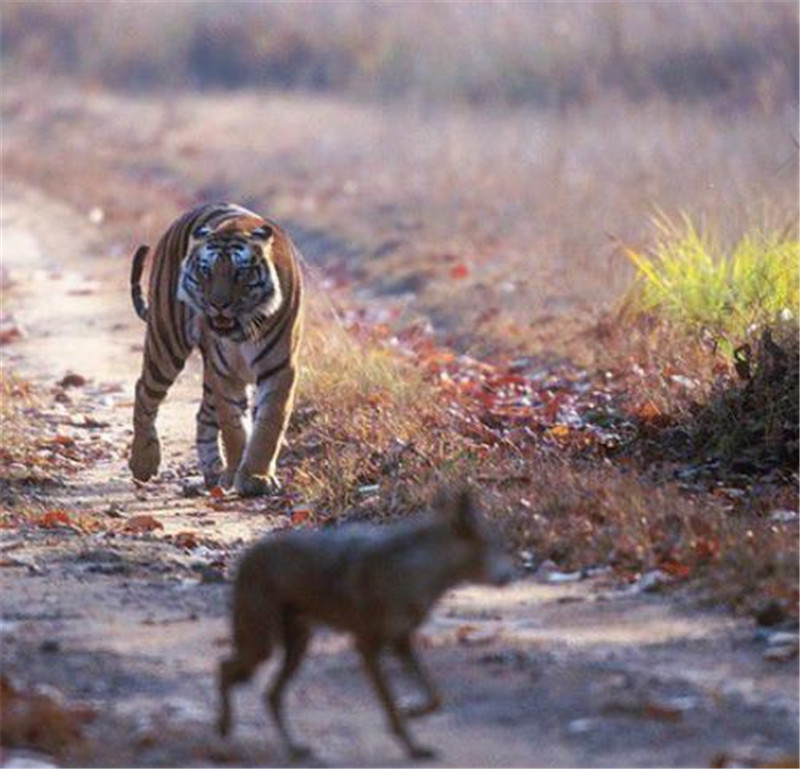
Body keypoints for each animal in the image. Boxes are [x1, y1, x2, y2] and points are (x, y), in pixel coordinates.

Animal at [216, 488, 512, 760]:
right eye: (493, 544)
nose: (511, 574)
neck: (415, 573)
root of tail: (249, 554)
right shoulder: (367, 646)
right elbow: (390, 705)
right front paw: (411, 743)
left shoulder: (401, 643)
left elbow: (434, 697)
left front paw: (412, 714)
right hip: (263, 648)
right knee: (224, 668)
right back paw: (224, 729)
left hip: (297, 647)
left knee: (271, 695)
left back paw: (295, 747)